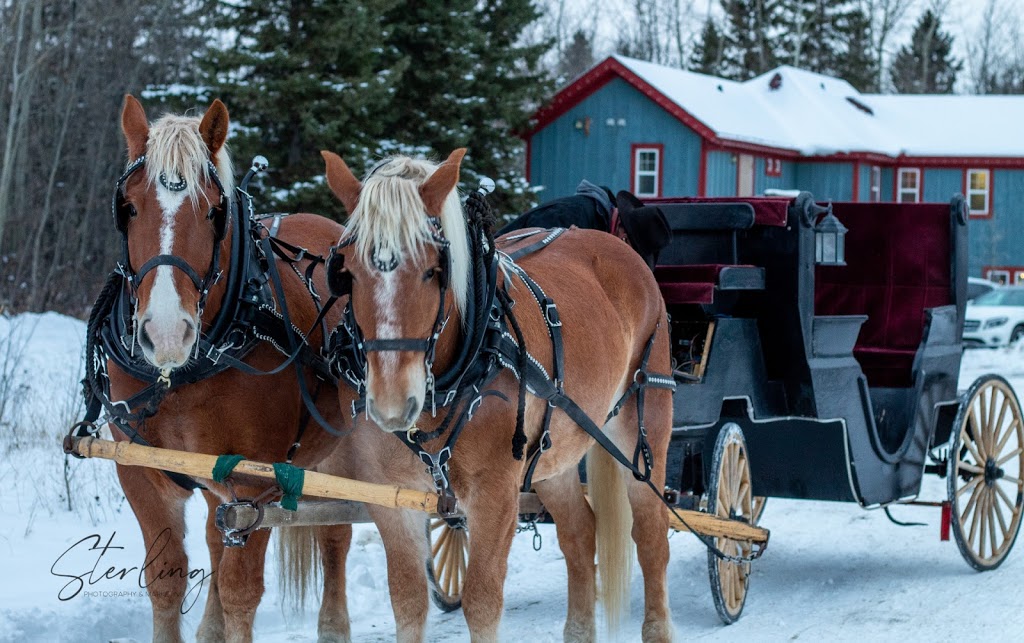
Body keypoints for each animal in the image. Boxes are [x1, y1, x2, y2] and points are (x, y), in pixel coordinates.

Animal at [94, 96, 356, 643]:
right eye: (128, 207)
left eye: (215, 211)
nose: (166, 334)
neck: (178, 377)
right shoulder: (139, 470)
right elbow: (165, 580)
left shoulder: (253, 485)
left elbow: (241, 593)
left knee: (336, 534)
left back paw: (333, 626)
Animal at [317, 148, 671, 638]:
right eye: (347, 273)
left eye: (433, 271)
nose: (391, 404)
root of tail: (621, 250)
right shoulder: (391, 497)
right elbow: (407, 603)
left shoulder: (496, 494)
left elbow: (482, 602)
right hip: (552, 452)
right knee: (580, 534)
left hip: (641, 422)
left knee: (651, 534)